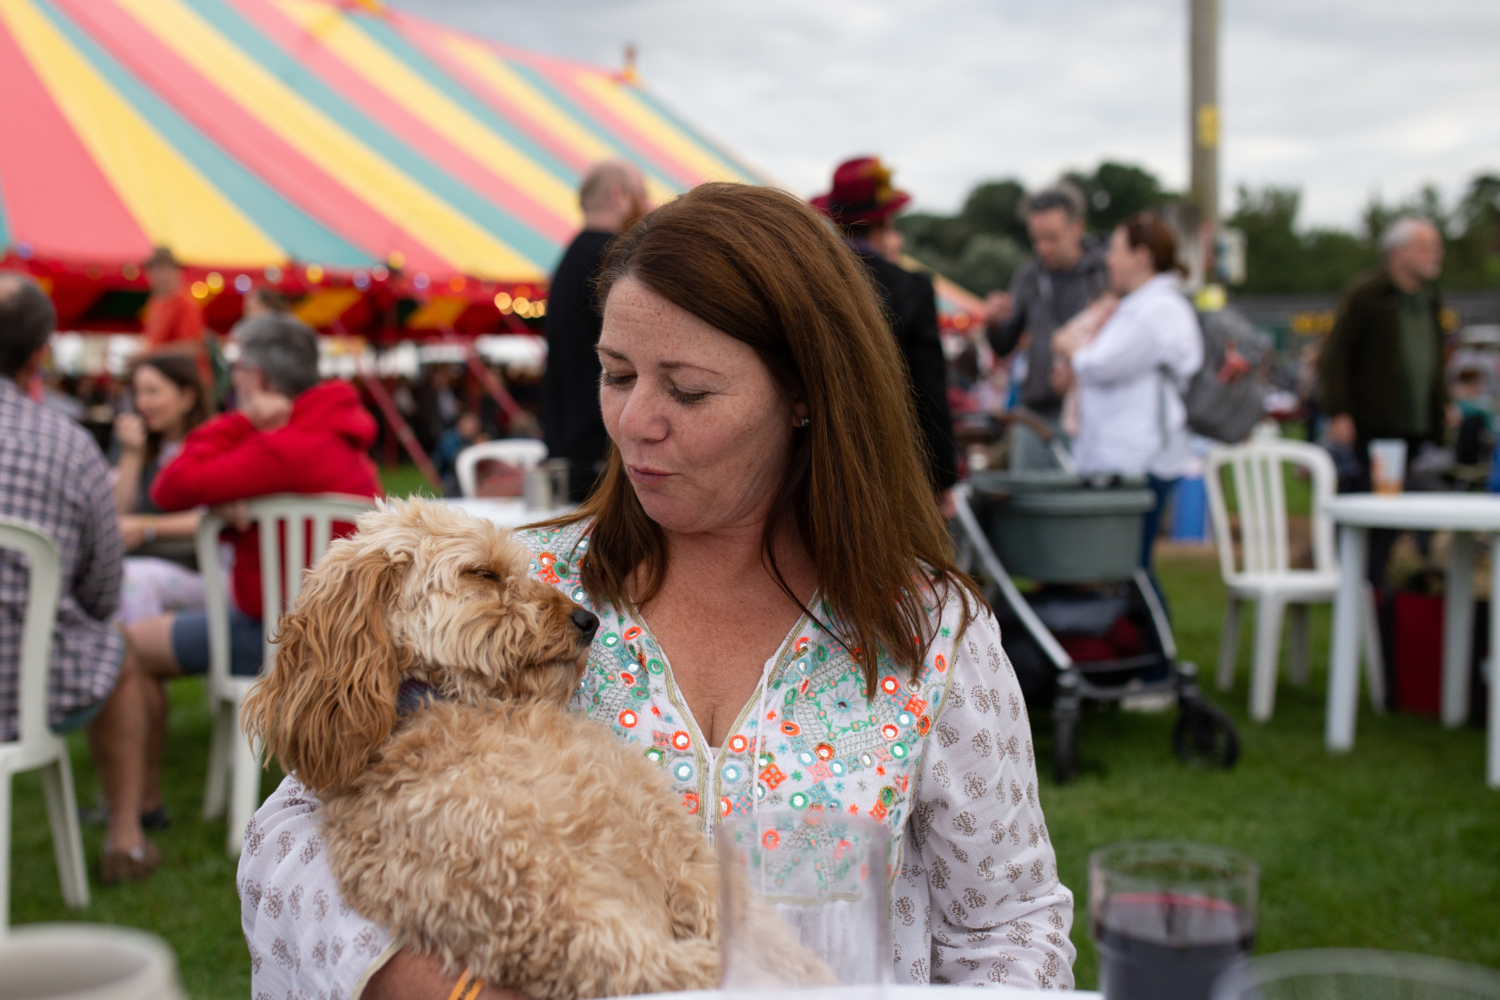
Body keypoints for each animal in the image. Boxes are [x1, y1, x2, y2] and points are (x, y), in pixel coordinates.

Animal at [243, 503, 723, 995]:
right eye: (484, 573)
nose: (589, 621)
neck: (467, 711)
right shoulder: (529, 903)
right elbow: (642, 962)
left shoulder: (666, 842)